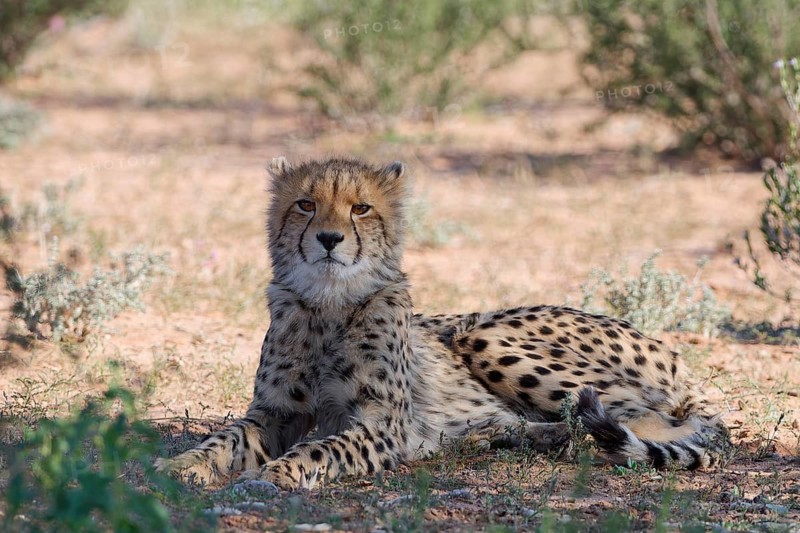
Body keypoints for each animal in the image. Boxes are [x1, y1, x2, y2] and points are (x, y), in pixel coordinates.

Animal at [155, 156, 729, 489]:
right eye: (305, 203)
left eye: (361, 208)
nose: (329, 239)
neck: (330, 303)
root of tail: (670, 352)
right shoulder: (275, 412)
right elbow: (223, 439)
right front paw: (179, 465)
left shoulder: (381, 425)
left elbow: (323, 445)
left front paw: (284, 469)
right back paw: (529, 439)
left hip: (486, 334)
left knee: (656, 422)